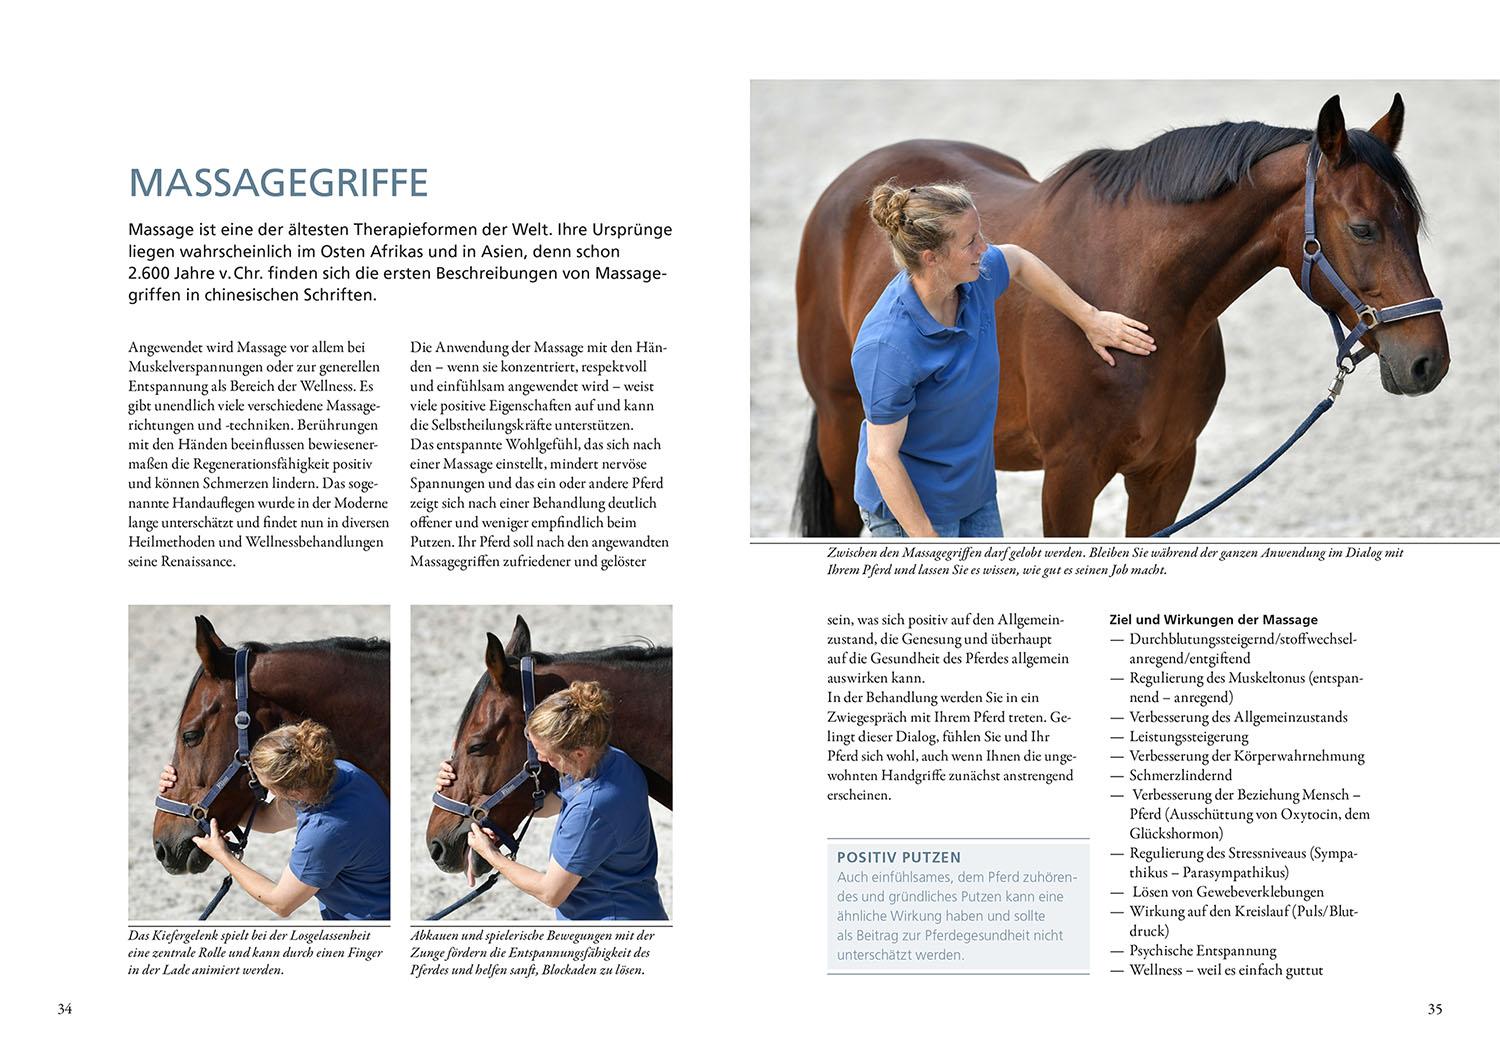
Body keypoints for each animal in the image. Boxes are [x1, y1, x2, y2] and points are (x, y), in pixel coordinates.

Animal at [794, 94, 1448, 537]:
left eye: (1412, 222)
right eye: (1363, 228)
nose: (1428, 362)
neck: (1145, 301)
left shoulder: (1167, 469)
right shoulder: (1070, 477)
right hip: (843, 429)